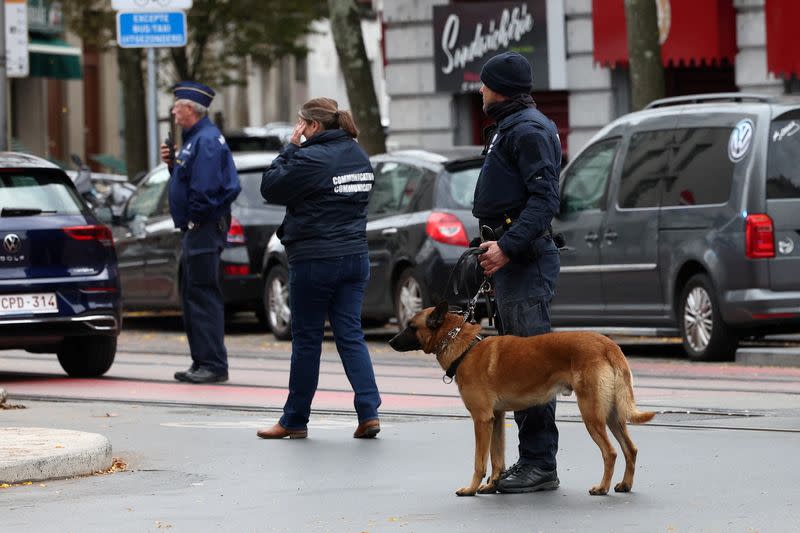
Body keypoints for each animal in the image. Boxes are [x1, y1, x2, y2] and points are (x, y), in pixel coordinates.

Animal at [388, 302, 656, 496]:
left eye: (411, 326)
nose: (389, 341)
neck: (463, 346)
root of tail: (608, 344)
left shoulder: (481, 420)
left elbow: (479, 462)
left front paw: (471, 489)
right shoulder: (496, 418)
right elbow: (497, 458)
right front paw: (492, 485)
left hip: (591, 415)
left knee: (610, 452)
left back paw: (602, 487)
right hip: (611, 415)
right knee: (630, 449)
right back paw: (625, 484)